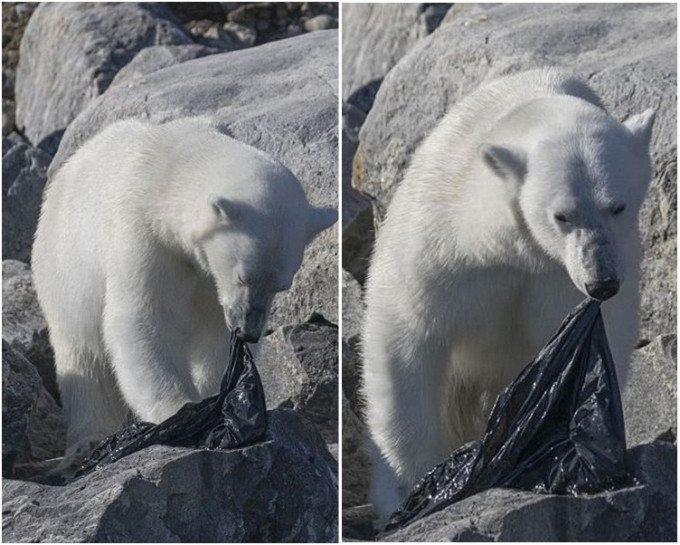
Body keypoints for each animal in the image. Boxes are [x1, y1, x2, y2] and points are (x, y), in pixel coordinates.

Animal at [31, 117, 338, 466]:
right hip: (67, 271)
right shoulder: (145, 238)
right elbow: (142, 319)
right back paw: (88, 441)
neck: (170, 171)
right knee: (85, 354)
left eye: (281, 285)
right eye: (244, 276)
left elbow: (215, 332)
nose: (249, 331)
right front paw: (178, 409)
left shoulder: (207, 275)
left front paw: (219, 399)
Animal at [364, 68, 656, 520]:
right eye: (561, 215)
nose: (601, 282)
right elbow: (406, 342)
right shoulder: (441, 248)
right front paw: (416, 483)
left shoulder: (558, 278)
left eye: (617, 206)